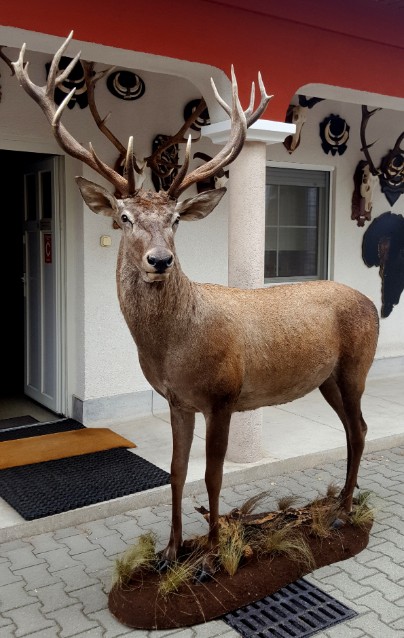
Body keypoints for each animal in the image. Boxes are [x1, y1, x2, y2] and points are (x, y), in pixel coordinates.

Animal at [12, 32, 378, 584]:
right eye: (124, 217)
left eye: (177, 221)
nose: (160, 260)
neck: (171, 350)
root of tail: (372, 303)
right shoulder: (176, 399)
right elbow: (177, 472)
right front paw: (169, 552)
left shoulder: (223, 394)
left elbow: (213, 474)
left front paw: (209, 556)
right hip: (328, 377)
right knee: (353, 429)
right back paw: (337, 505)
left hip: (357, 365)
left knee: (359, 429)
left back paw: (341, 512)